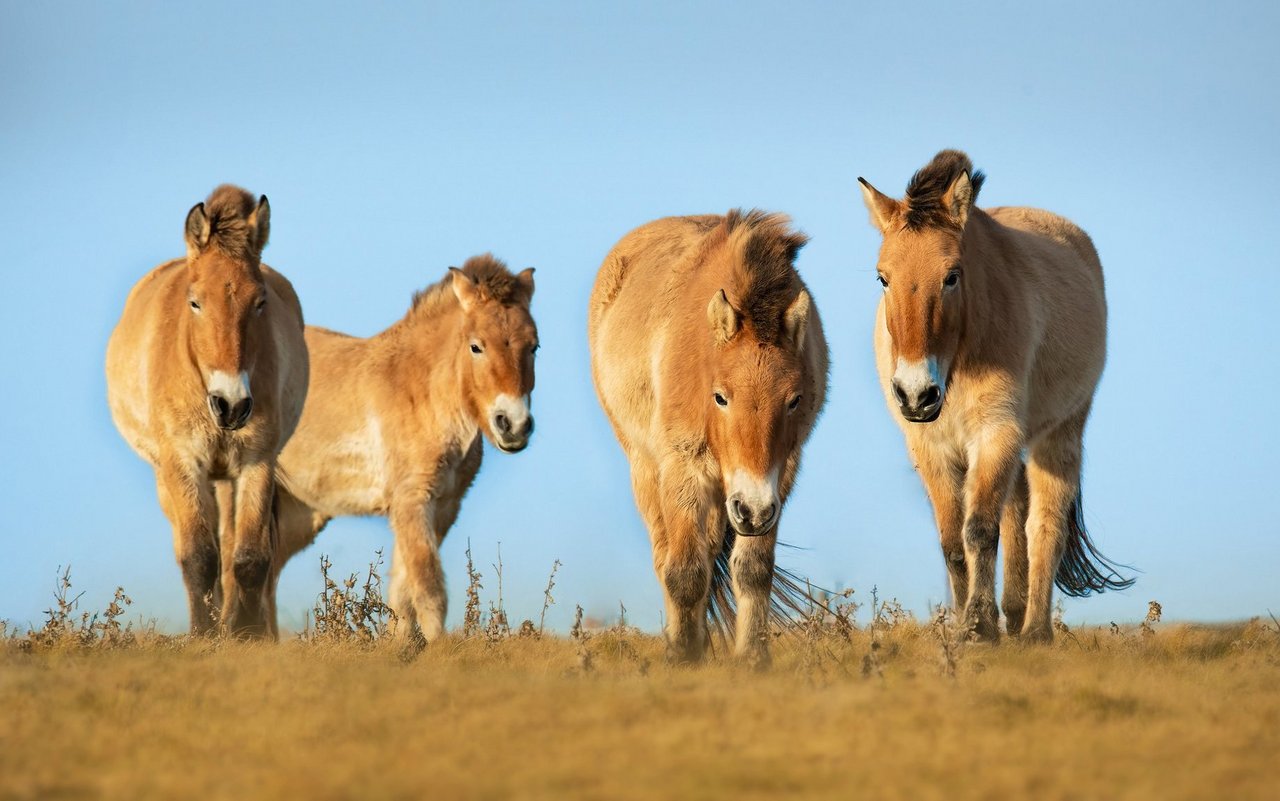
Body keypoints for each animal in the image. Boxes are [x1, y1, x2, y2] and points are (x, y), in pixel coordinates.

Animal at [106, 185, 308, 637]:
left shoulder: (256, 462)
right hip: (172, 479)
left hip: (228, 478)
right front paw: (204, 634)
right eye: (195, 302)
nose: (231, 405)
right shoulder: (183, 464)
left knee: (234, 547)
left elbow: (249, 558)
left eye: (260, 302)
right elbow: (199, 556)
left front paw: (248, 635)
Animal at [270, 254, 535, 642]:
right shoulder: (412, 501)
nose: (513, 425)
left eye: (534, 346)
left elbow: (402, 593)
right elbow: (428, 588)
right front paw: (440, 649)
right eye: (476, 346)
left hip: (296, 511)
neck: (421, 394)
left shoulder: (442, 507)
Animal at [588, 211, 829, 660]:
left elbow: (753, 571)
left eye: (794, 400)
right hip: (648, 471)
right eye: (721, 397)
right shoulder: (685, 469)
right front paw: (684, 657)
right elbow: (684, 572)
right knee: (666, 557)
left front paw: (752, 658)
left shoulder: (779, 476)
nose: (752, 510)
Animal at [860, 149, 1131, 639]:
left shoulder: (995, 435)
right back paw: (1016, 612)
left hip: (1059, 435)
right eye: (882, 278)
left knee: (1044, 525)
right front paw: (963, 624)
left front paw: (978, 626)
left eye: (951, 276)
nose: (916, 394)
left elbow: (981, 531)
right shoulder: (931, 448)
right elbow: (952, 542)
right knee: (1017, 514)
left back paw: (1035, 631)